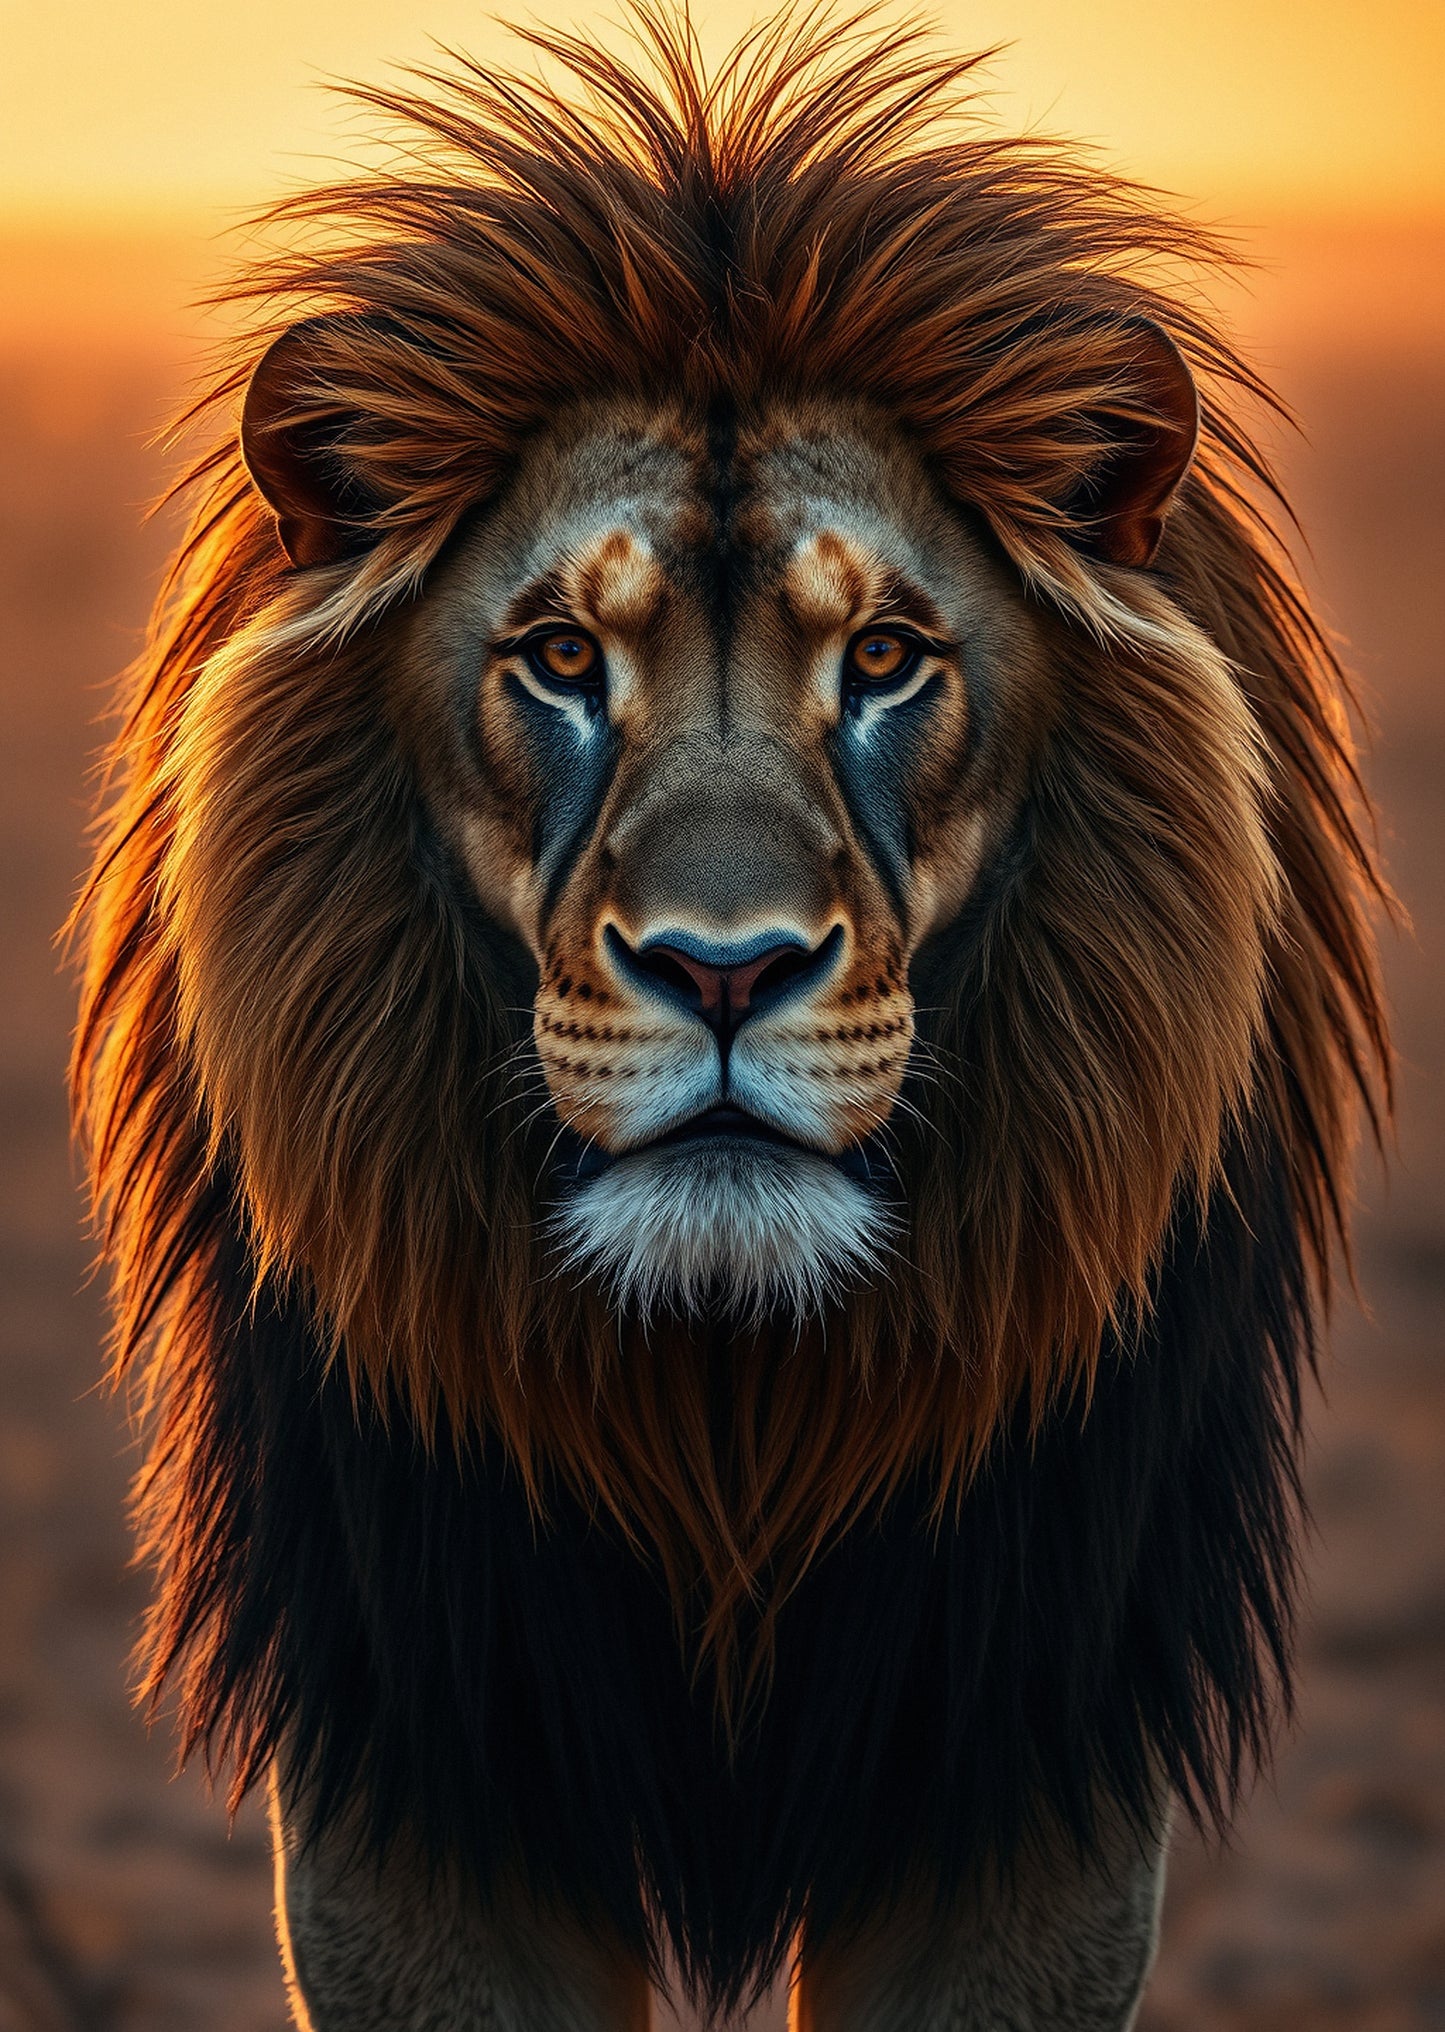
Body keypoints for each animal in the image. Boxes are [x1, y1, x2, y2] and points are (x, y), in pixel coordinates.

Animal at [72, 14, 1387, 2030]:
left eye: (886, 660)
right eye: (558, 658)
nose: (721, 969)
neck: (725, 1420)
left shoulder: (1026, 1737)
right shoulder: (421, 1737)